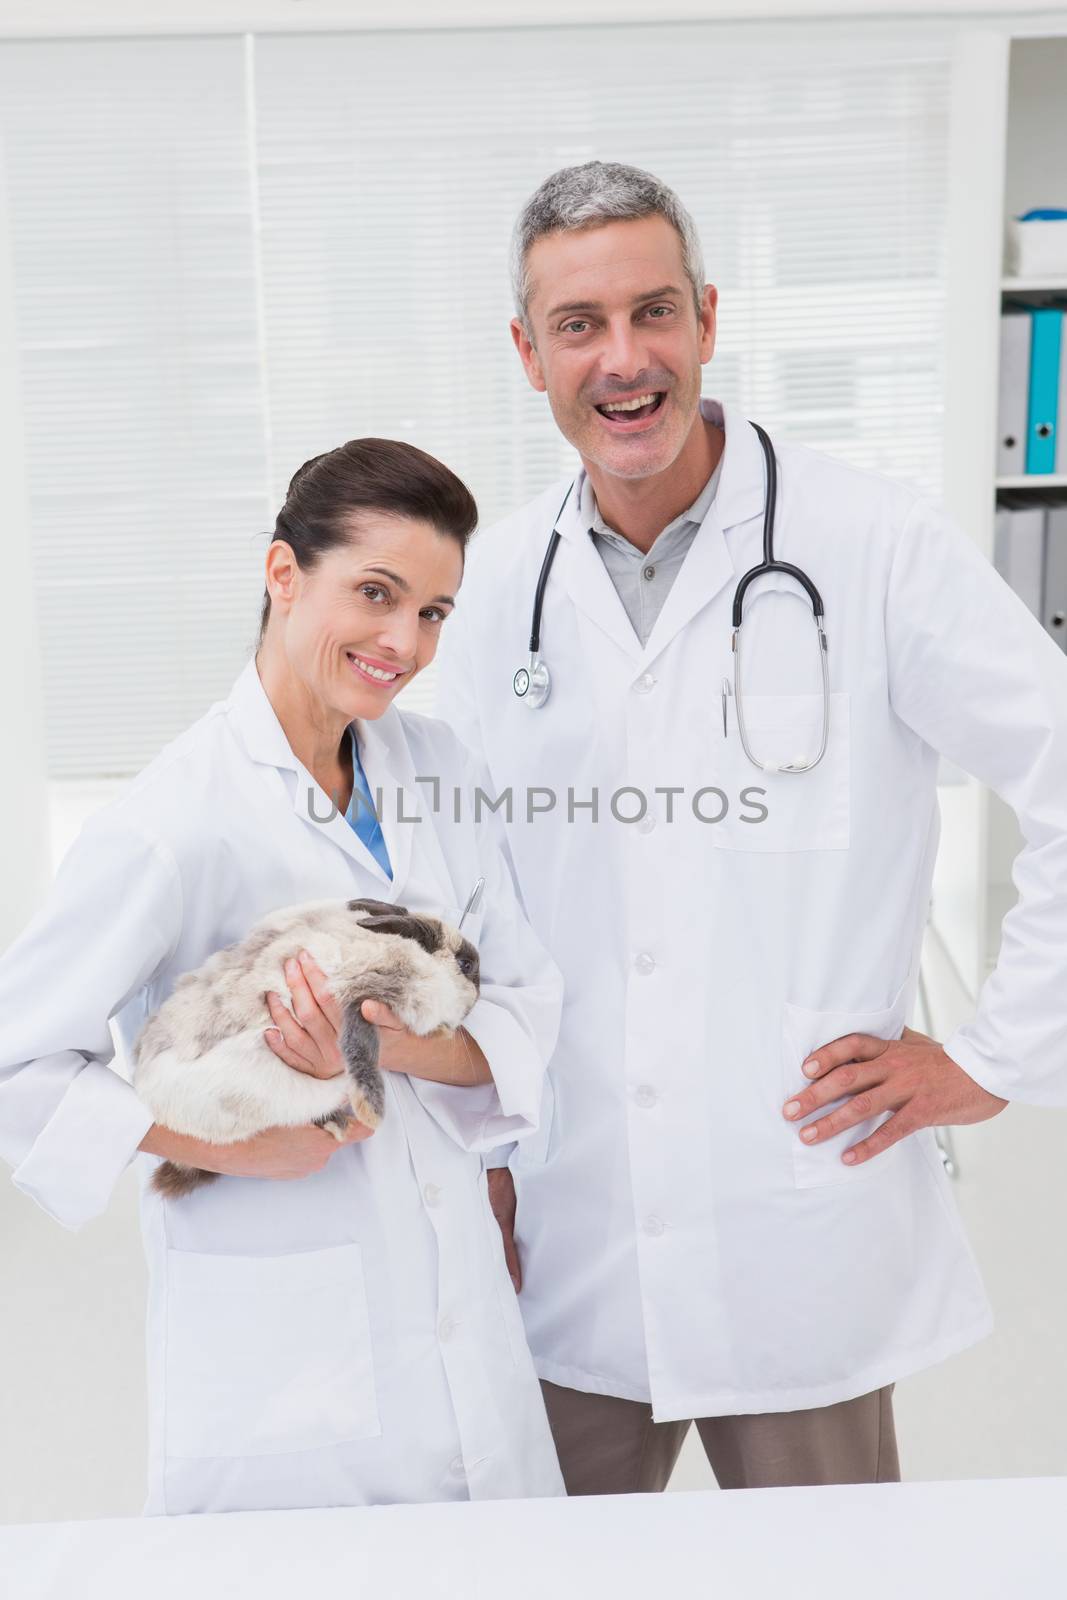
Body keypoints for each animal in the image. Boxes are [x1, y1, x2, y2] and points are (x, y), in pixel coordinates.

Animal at [133, 896, 479, 1196]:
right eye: (465, 964)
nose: (480, 989)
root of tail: (150, 1096)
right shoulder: (364, 999)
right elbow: (361, 1052)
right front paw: (372, 1113)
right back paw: (337, 1123)